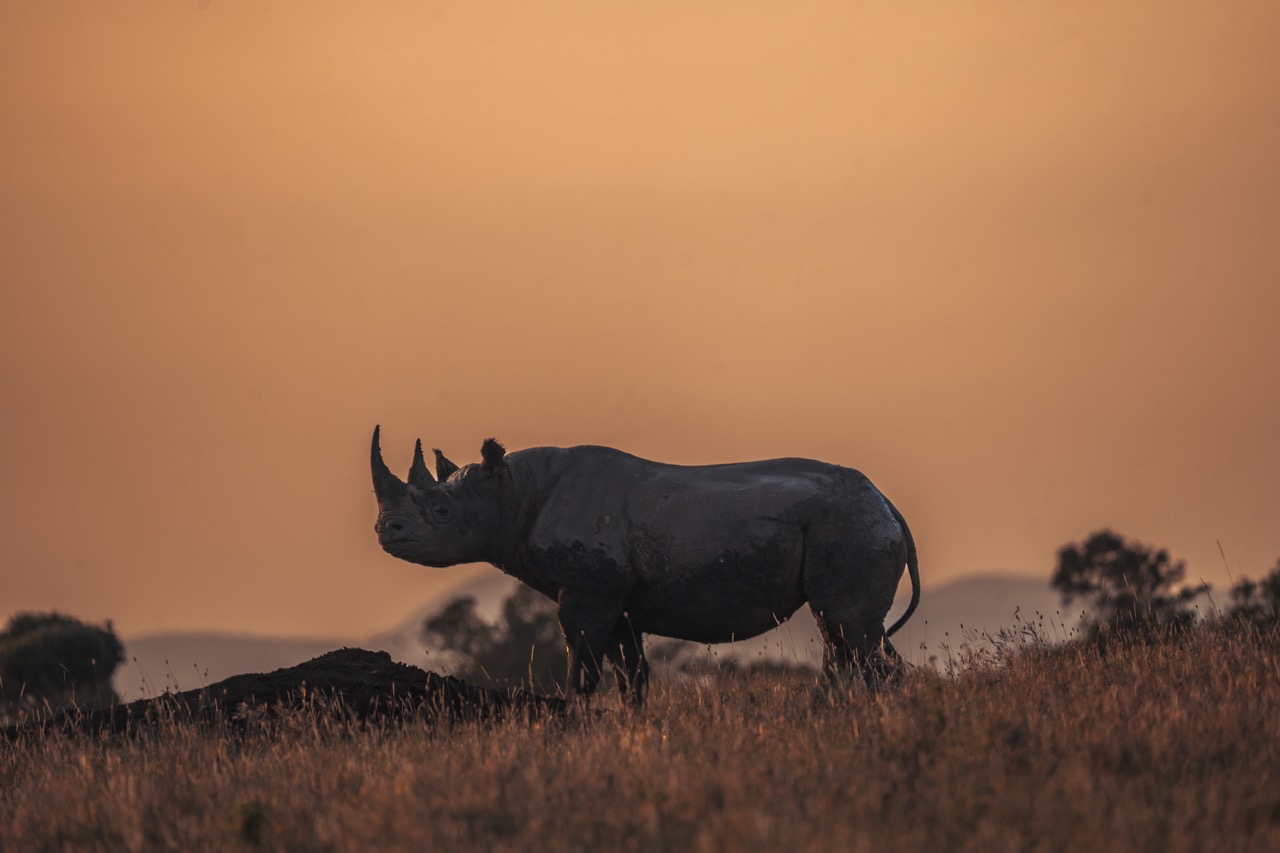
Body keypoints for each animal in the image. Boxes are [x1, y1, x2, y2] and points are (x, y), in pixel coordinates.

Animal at [370, 426, 919, 704]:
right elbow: (630, 675)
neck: (511, 492)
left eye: (442, 513)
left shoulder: (589, 590)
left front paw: (574, 726)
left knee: (851, 629)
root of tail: (890, 506)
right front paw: (631, 732)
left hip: (849, 527)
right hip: (848, 526)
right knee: (843, 635)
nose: (385, 531)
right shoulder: (617, 598)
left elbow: (582, 668)